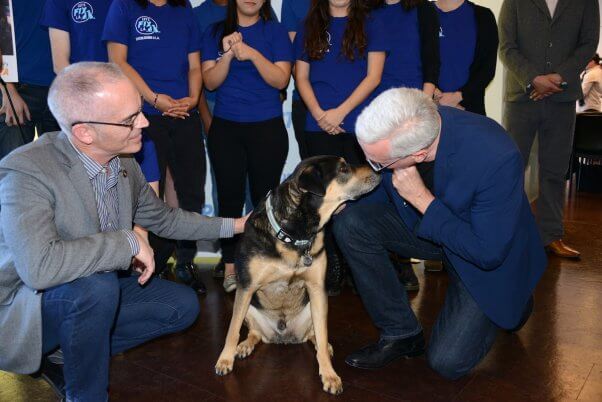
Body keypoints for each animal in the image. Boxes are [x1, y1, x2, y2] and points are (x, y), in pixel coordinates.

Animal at [213, 155, 378, 394]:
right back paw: (244, 346)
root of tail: (282, 337)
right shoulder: (246, 286)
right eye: (343, 168)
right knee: (254, 333)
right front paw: (224, 359)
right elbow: (232, 329)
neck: (295, 231)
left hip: (315, 308)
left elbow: (322, 334)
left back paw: (322, 346)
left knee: (314, 335)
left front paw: (329, 374)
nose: (378, 172)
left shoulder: (317, 289)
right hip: (250, 306)